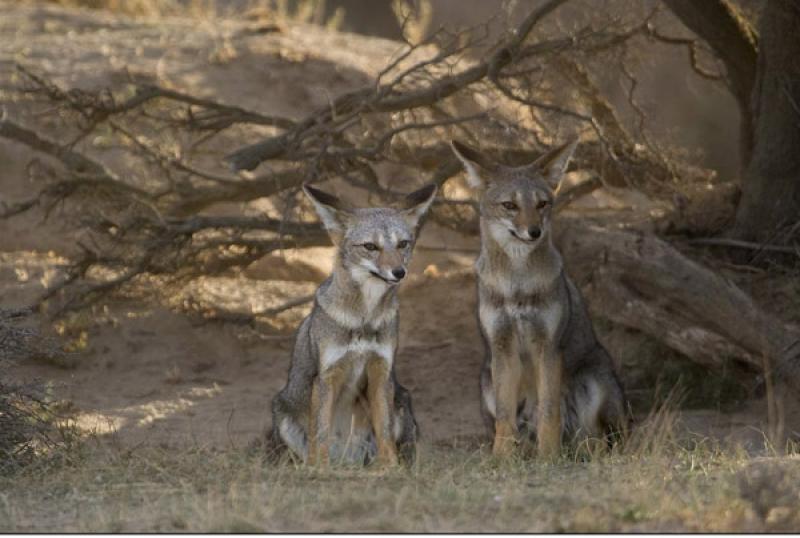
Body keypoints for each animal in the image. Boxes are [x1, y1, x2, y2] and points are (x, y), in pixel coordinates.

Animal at [274, 181, 438, 464]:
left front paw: (390, 468)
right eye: (370, 247)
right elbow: (321, 433)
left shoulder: (381, 372)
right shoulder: (326, 376)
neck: (364, 320)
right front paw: (319, 469)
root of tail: (347, 460)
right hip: (283, 412)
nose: (399, 272)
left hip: (401, 401)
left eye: (403, 244)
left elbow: (384, 432)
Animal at [450, 138, 624, 456]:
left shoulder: (548, 346)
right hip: (486, 381)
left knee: (597, 440)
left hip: (594, 380)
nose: (534, 231)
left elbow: (549, 410)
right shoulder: (502, 346)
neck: (517, 285)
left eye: (542, 204)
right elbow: (505, 417)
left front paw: (549, 457)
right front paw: (501, 458)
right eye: (510, 205)